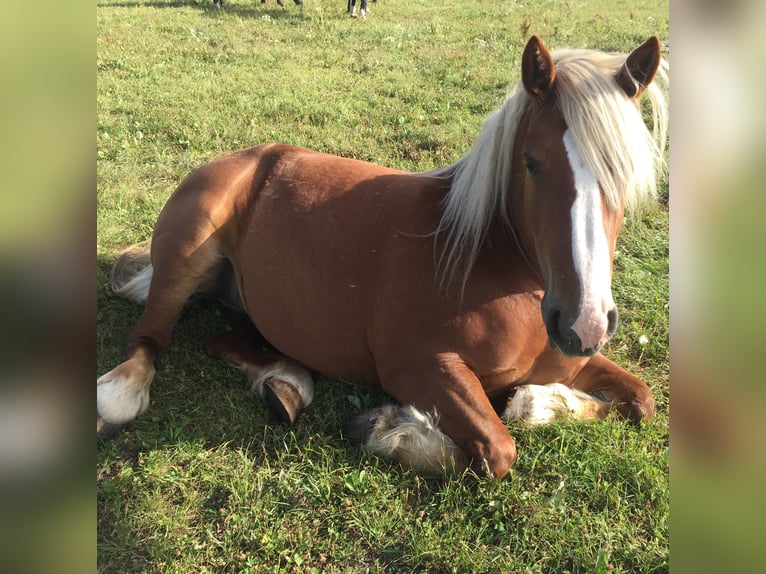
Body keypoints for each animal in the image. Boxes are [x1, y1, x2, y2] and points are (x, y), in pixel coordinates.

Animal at [99, 33, 668, 480]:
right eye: (532, 162)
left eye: (626, 172)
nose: (583, 324)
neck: (488, 261)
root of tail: (239, 158)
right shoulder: (419, 367)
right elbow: (496, 450)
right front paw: (388, 430)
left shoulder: (577, 361)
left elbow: (641, 401)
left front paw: (538, 401)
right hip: (187, 252)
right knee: (148, 341)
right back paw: (124, 392)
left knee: (223, 340)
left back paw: (285, 384)